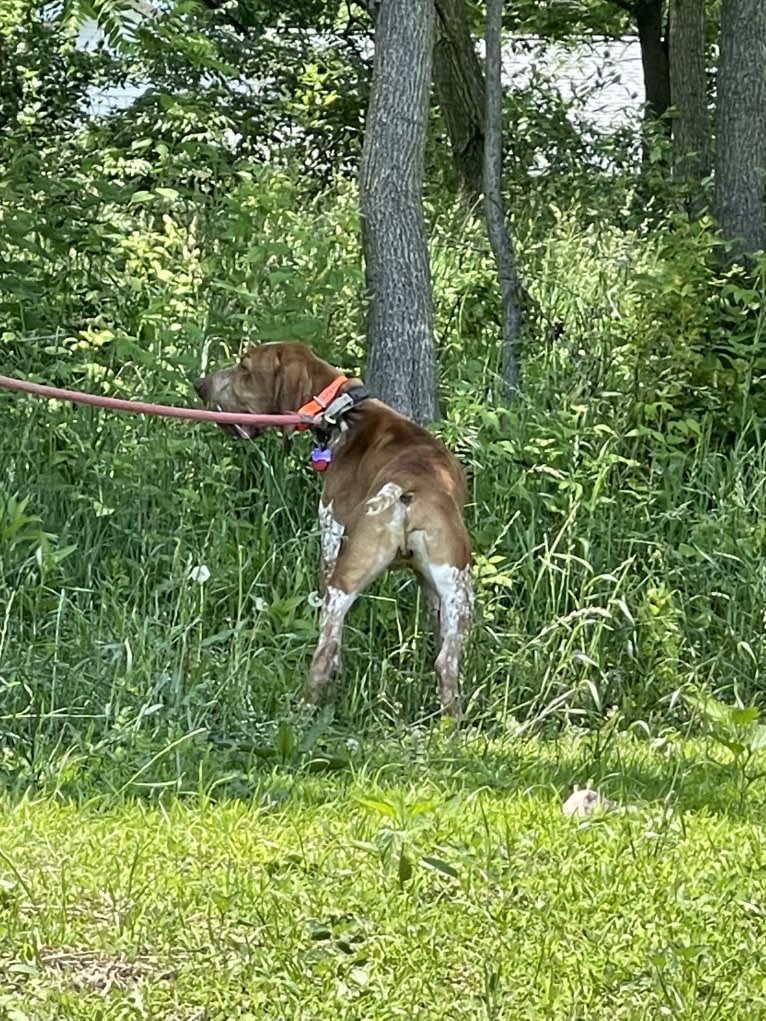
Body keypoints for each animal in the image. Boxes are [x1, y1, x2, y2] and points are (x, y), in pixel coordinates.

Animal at [195, 338, 471, 714]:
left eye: (245, 368)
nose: (200, 385)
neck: (343, 412)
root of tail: (406, 490)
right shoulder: (431, 587)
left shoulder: (330, 540)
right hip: (460, 588)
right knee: (447, 662)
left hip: (343, 580)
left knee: (325, 652)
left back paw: (304, 709)